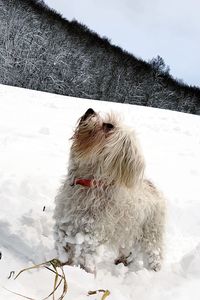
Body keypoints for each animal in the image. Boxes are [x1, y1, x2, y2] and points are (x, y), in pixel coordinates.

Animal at [53, 108, 166, 272]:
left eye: (109, 126)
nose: (90, 110)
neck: (89, 183)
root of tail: (153, 186)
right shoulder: (65, 223)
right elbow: (64, 249)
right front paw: (58, 266)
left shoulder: (92, 233)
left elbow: (86, 257)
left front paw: (84, 273)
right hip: (129, 232)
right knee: (128, 249)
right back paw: (122, 261)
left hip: (151, 233)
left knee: (154, 253)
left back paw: (153, 270)